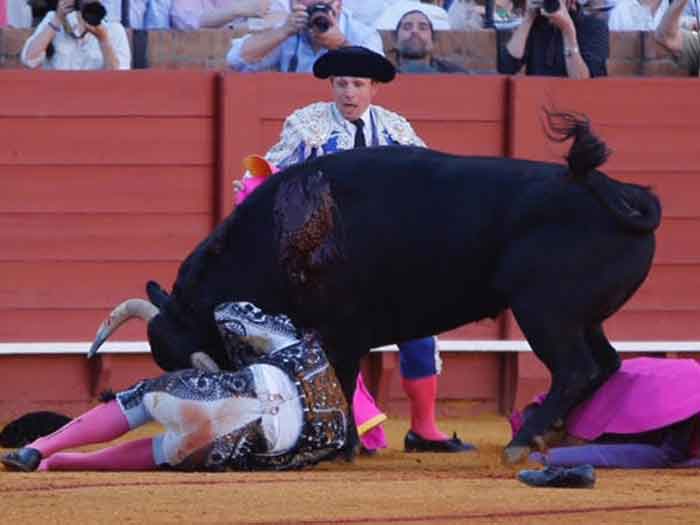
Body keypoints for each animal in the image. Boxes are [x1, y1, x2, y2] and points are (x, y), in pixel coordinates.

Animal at [90, 113, 660, 458]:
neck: (278, 237)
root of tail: (615, 190)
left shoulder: (340, 330)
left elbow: (343, 381)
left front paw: (342, 448)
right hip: (582, 316)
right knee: (605, 364)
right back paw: (559, 432)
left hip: (545, 312)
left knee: (575, 368)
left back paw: (525, 437)